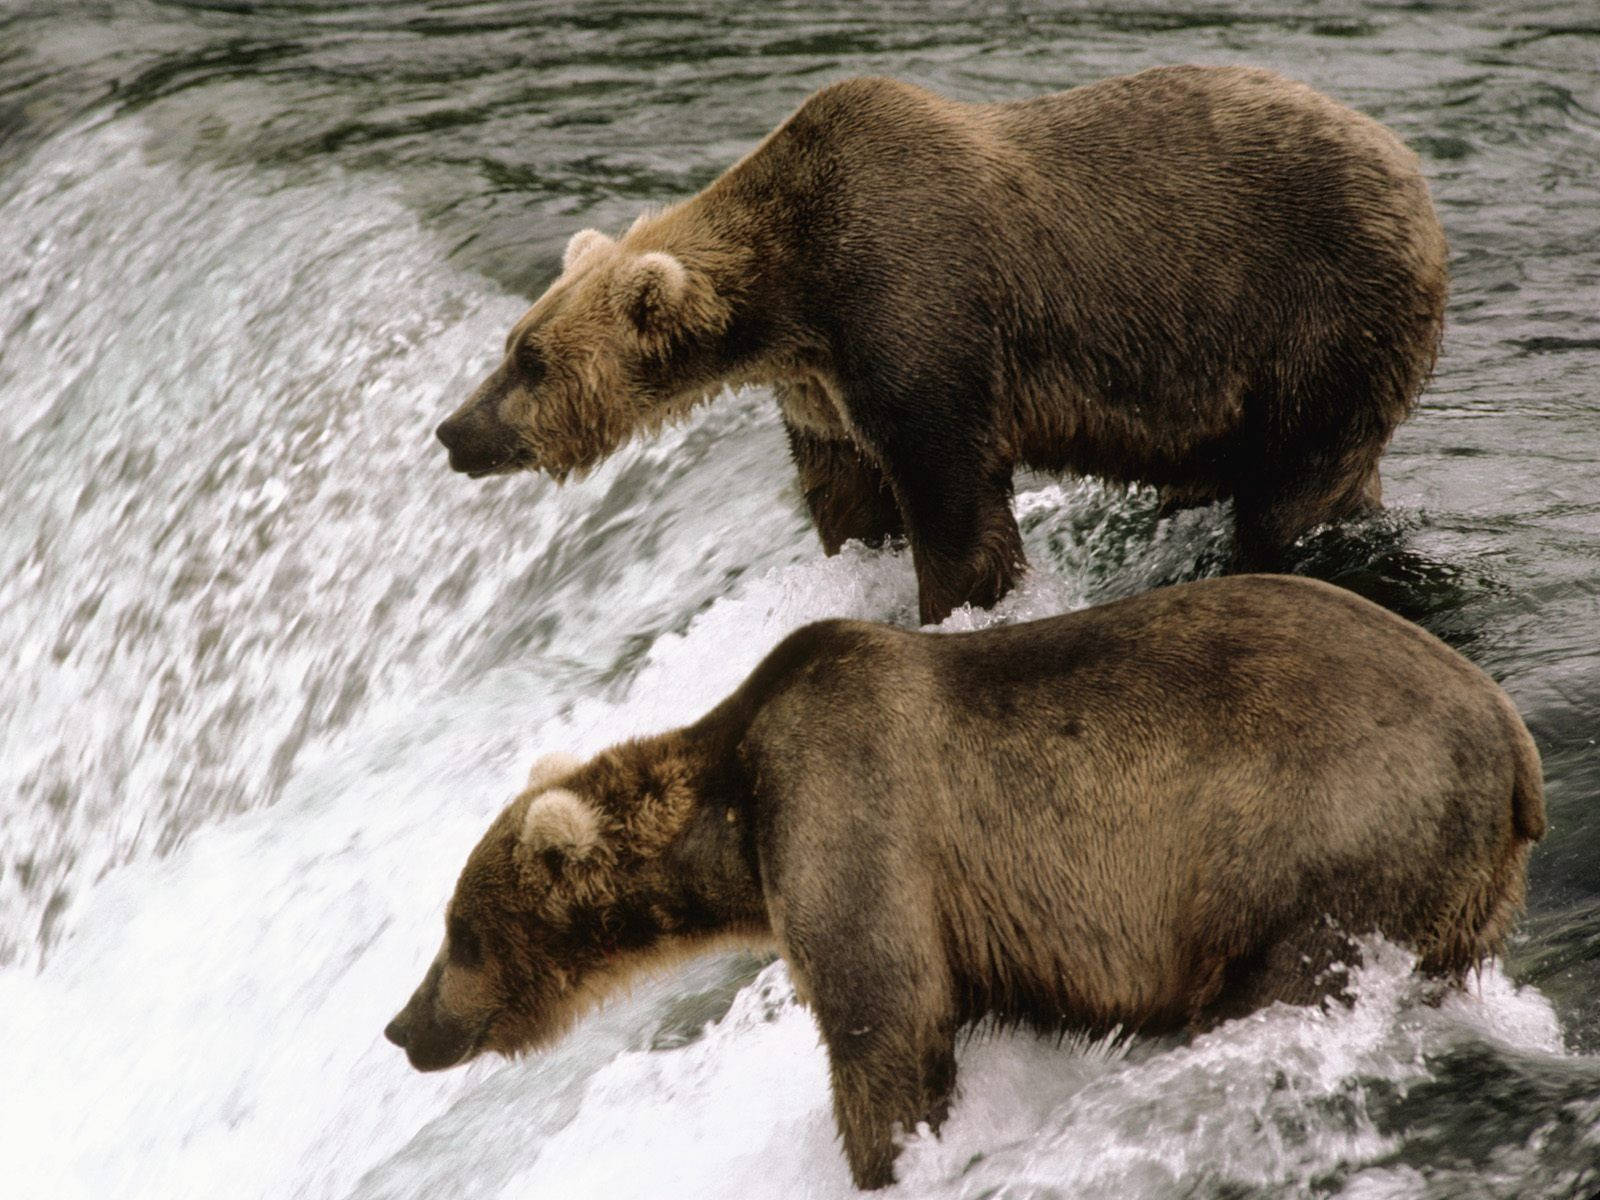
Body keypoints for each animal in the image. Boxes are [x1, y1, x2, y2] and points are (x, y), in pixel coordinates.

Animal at [384, 576, 1536, 1196]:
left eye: (459, 931)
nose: (403, 1026)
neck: (735, 825)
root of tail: (1514, 743)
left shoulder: (853, 817)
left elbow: (883, 1027)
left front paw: (884, 1158)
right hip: (1459, 890)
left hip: (1329, 842)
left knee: (1289, 981)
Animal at [438, 63, 1452, 630]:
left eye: (531, 362)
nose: (453, 431)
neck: (791, 298)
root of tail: (1409, 166)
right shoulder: (822, 388)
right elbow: (849, 499)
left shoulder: (916, 310)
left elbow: (953, 500)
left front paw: (954, 609)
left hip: (1315, 309)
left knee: (1293, 489)